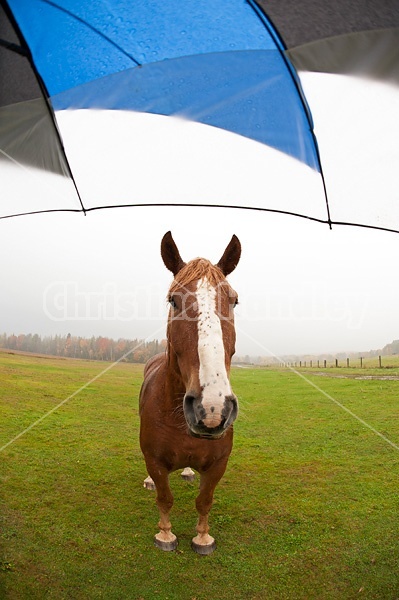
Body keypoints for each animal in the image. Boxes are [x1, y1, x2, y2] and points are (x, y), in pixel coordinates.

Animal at [140, 232, 241, 556]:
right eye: (173, 300)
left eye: (234, 301)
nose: (212, 408)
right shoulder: (155, 460)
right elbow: (164, 498)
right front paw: (165, 535)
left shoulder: (218, 464)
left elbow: (204, 501)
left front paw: (203, 538)